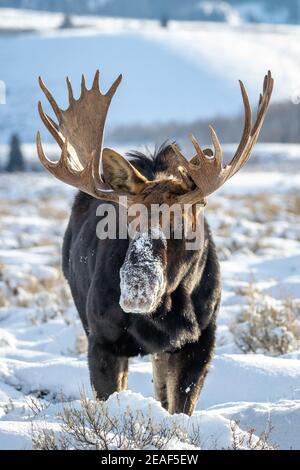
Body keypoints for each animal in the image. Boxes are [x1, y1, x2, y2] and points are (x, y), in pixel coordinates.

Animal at [36, 70, 274, 414]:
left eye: (183, 221)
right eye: (126, 220)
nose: (137, 287)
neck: (167, 312)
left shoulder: (200, 340)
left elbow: (180, 405)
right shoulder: (102, 339)